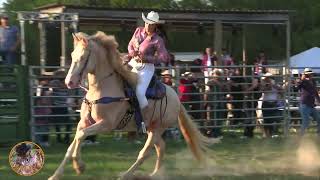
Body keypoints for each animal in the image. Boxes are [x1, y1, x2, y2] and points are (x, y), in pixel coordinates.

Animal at [48, 31, 218, 179]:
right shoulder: (84, 122)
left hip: (157, 129)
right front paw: (56, 175)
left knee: (144, 153)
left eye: (83, 56)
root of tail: (175, 97)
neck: (101, 88)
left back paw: (125, 175)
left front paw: (79, 166)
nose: (69, 82)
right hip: (151, 128)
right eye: (72, 55)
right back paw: (154, 174)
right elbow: (73, 143)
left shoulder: (106, 124)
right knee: (160, 147)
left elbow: (81, 136)